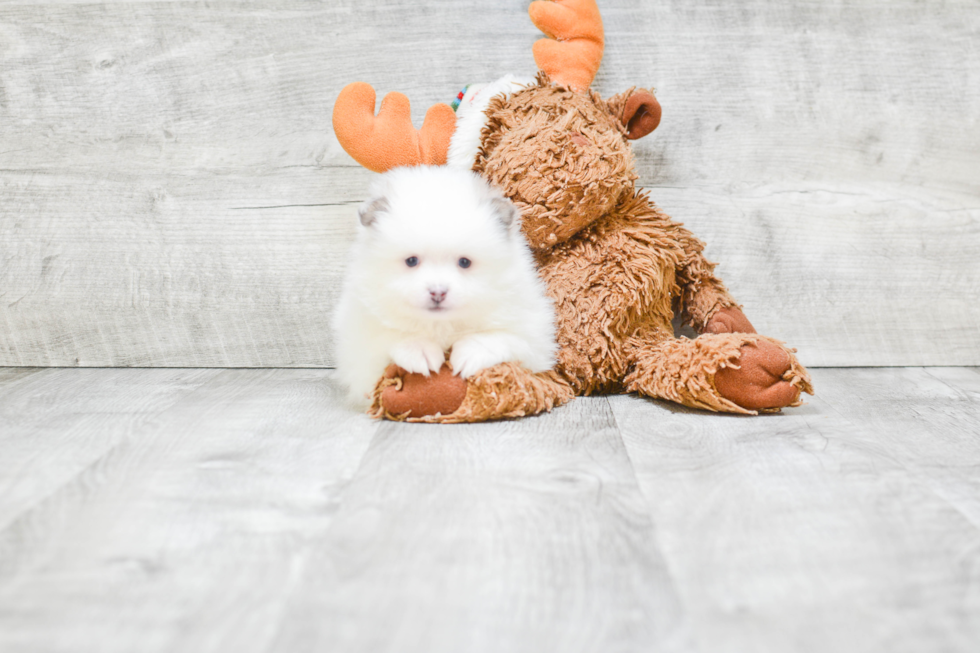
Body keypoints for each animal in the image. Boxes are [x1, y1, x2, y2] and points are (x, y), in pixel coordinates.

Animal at [332, 164, 556, 402]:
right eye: (411, 261)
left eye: (464, 262)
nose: (437, 292)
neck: (441, 325)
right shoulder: (359, 348)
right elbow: (390, 335)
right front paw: (419, 351)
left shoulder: (535, 337)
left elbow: (502, 337)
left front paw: (470, 354)